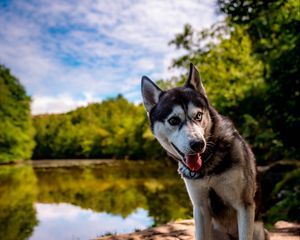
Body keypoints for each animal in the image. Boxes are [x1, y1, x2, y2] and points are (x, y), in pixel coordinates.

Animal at [141, 64, 270, 240]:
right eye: (173, 120)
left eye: (198, 115)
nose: (197, 144)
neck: (209, 165)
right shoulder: (200, 208)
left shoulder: (244, 205)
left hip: (259, 230)